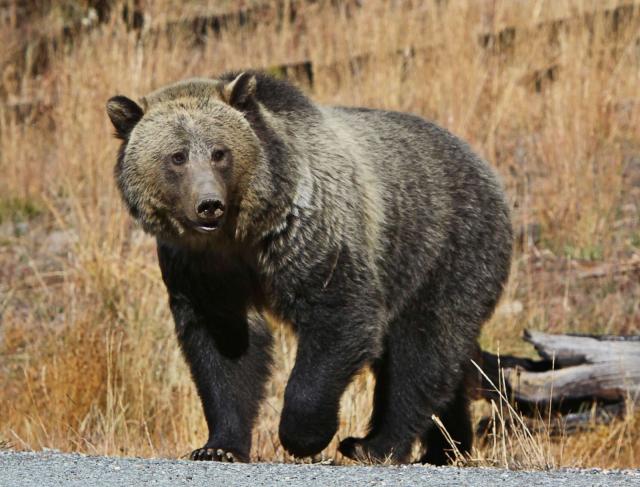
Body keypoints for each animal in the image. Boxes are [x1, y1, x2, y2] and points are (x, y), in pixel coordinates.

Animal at [107, 71, 512, 466]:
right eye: (177, 157)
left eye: (219, 152)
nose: (208, 204)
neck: (242, 233)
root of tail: (485, 168)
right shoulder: (202, 269)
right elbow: (225, 347)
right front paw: (218, 446)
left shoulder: (307, 233)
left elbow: (338, 312)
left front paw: (304, 435)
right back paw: (446, 447)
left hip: (442, 248)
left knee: (421, 349)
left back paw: (375, 446)